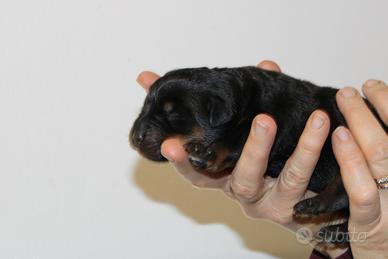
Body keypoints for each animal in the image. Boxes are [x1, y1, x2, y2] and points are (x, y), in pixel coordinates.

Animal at [132, 67, 386, 246]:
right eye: (145, 107)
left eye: (172, 113)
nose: (135, 137)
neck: (243, 97)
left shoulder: (273, 120)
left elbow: (239, 135)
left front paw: (206, 152)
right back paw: (336, 232)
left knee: (344, 185)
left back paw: (315, 205)